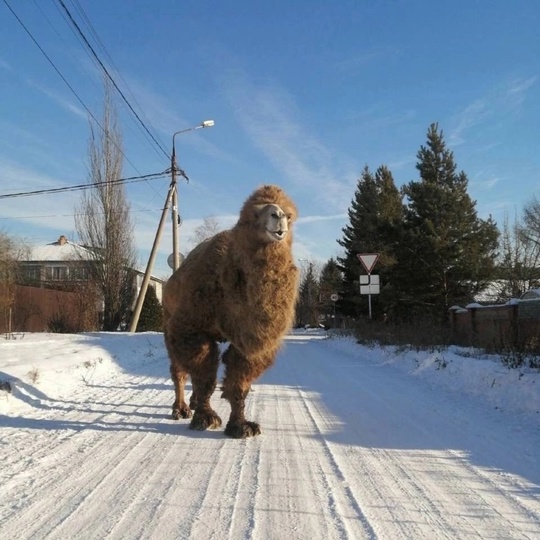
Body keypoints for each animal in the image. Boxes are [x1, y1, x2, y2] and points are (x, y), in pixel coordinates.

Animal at [165, 186, 300, 438]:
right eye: (253, 216)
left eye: (289, 216)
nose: (277, 216)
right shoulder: (191, 327)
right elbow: (204, 376)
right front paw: (205, 418)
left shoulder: (251, 344)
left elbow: (239, 382)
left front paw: (241, 426)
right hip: (168, 323)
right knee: (178, 370)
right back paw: (181, 409)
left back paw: (193, 403)